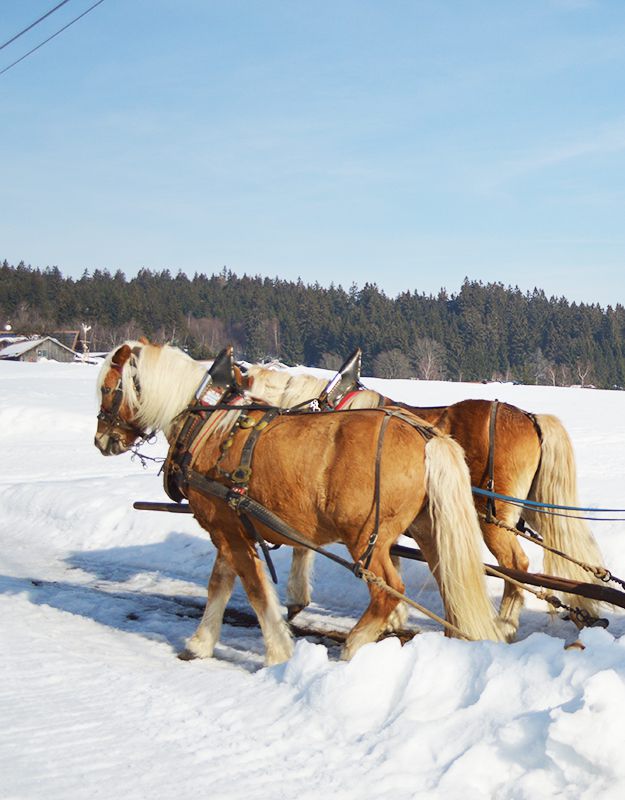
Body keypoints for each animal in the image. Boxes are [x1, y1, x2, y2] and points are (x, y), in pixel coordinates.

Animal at [91, 340, 502, 664]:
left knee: (389, 589)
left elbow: (255, 590)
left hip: (366, 538)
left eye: (108, 388)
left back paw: (353, 646)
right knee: (450, 583)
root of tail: (425, 435)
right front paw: (200, 643)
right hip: (428, 529)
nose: (101, 440)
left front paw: (277, 651)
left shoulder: (230, 530)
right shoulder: (229, 526)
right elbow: (219, 583)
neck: (209, 425)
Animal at [240, 360, 604, 636]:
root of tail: (530, 417)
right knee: (572, 549)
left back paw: (505, 624)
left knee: (516, 566)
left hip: (495, 518)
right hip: (534, 508)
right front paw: (393, 616)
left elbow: (303, 543)